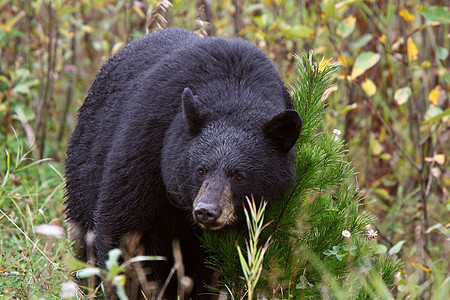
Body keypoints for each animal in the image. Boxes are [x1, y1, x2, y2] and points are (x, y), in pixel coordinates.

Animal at [64, 27, 302, 298]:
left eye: (239, 175)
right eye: (201, 170)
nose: (207, 211)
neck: (236, 93)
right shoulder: (147, 146)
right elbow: (124, 231)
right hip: (85, 168)